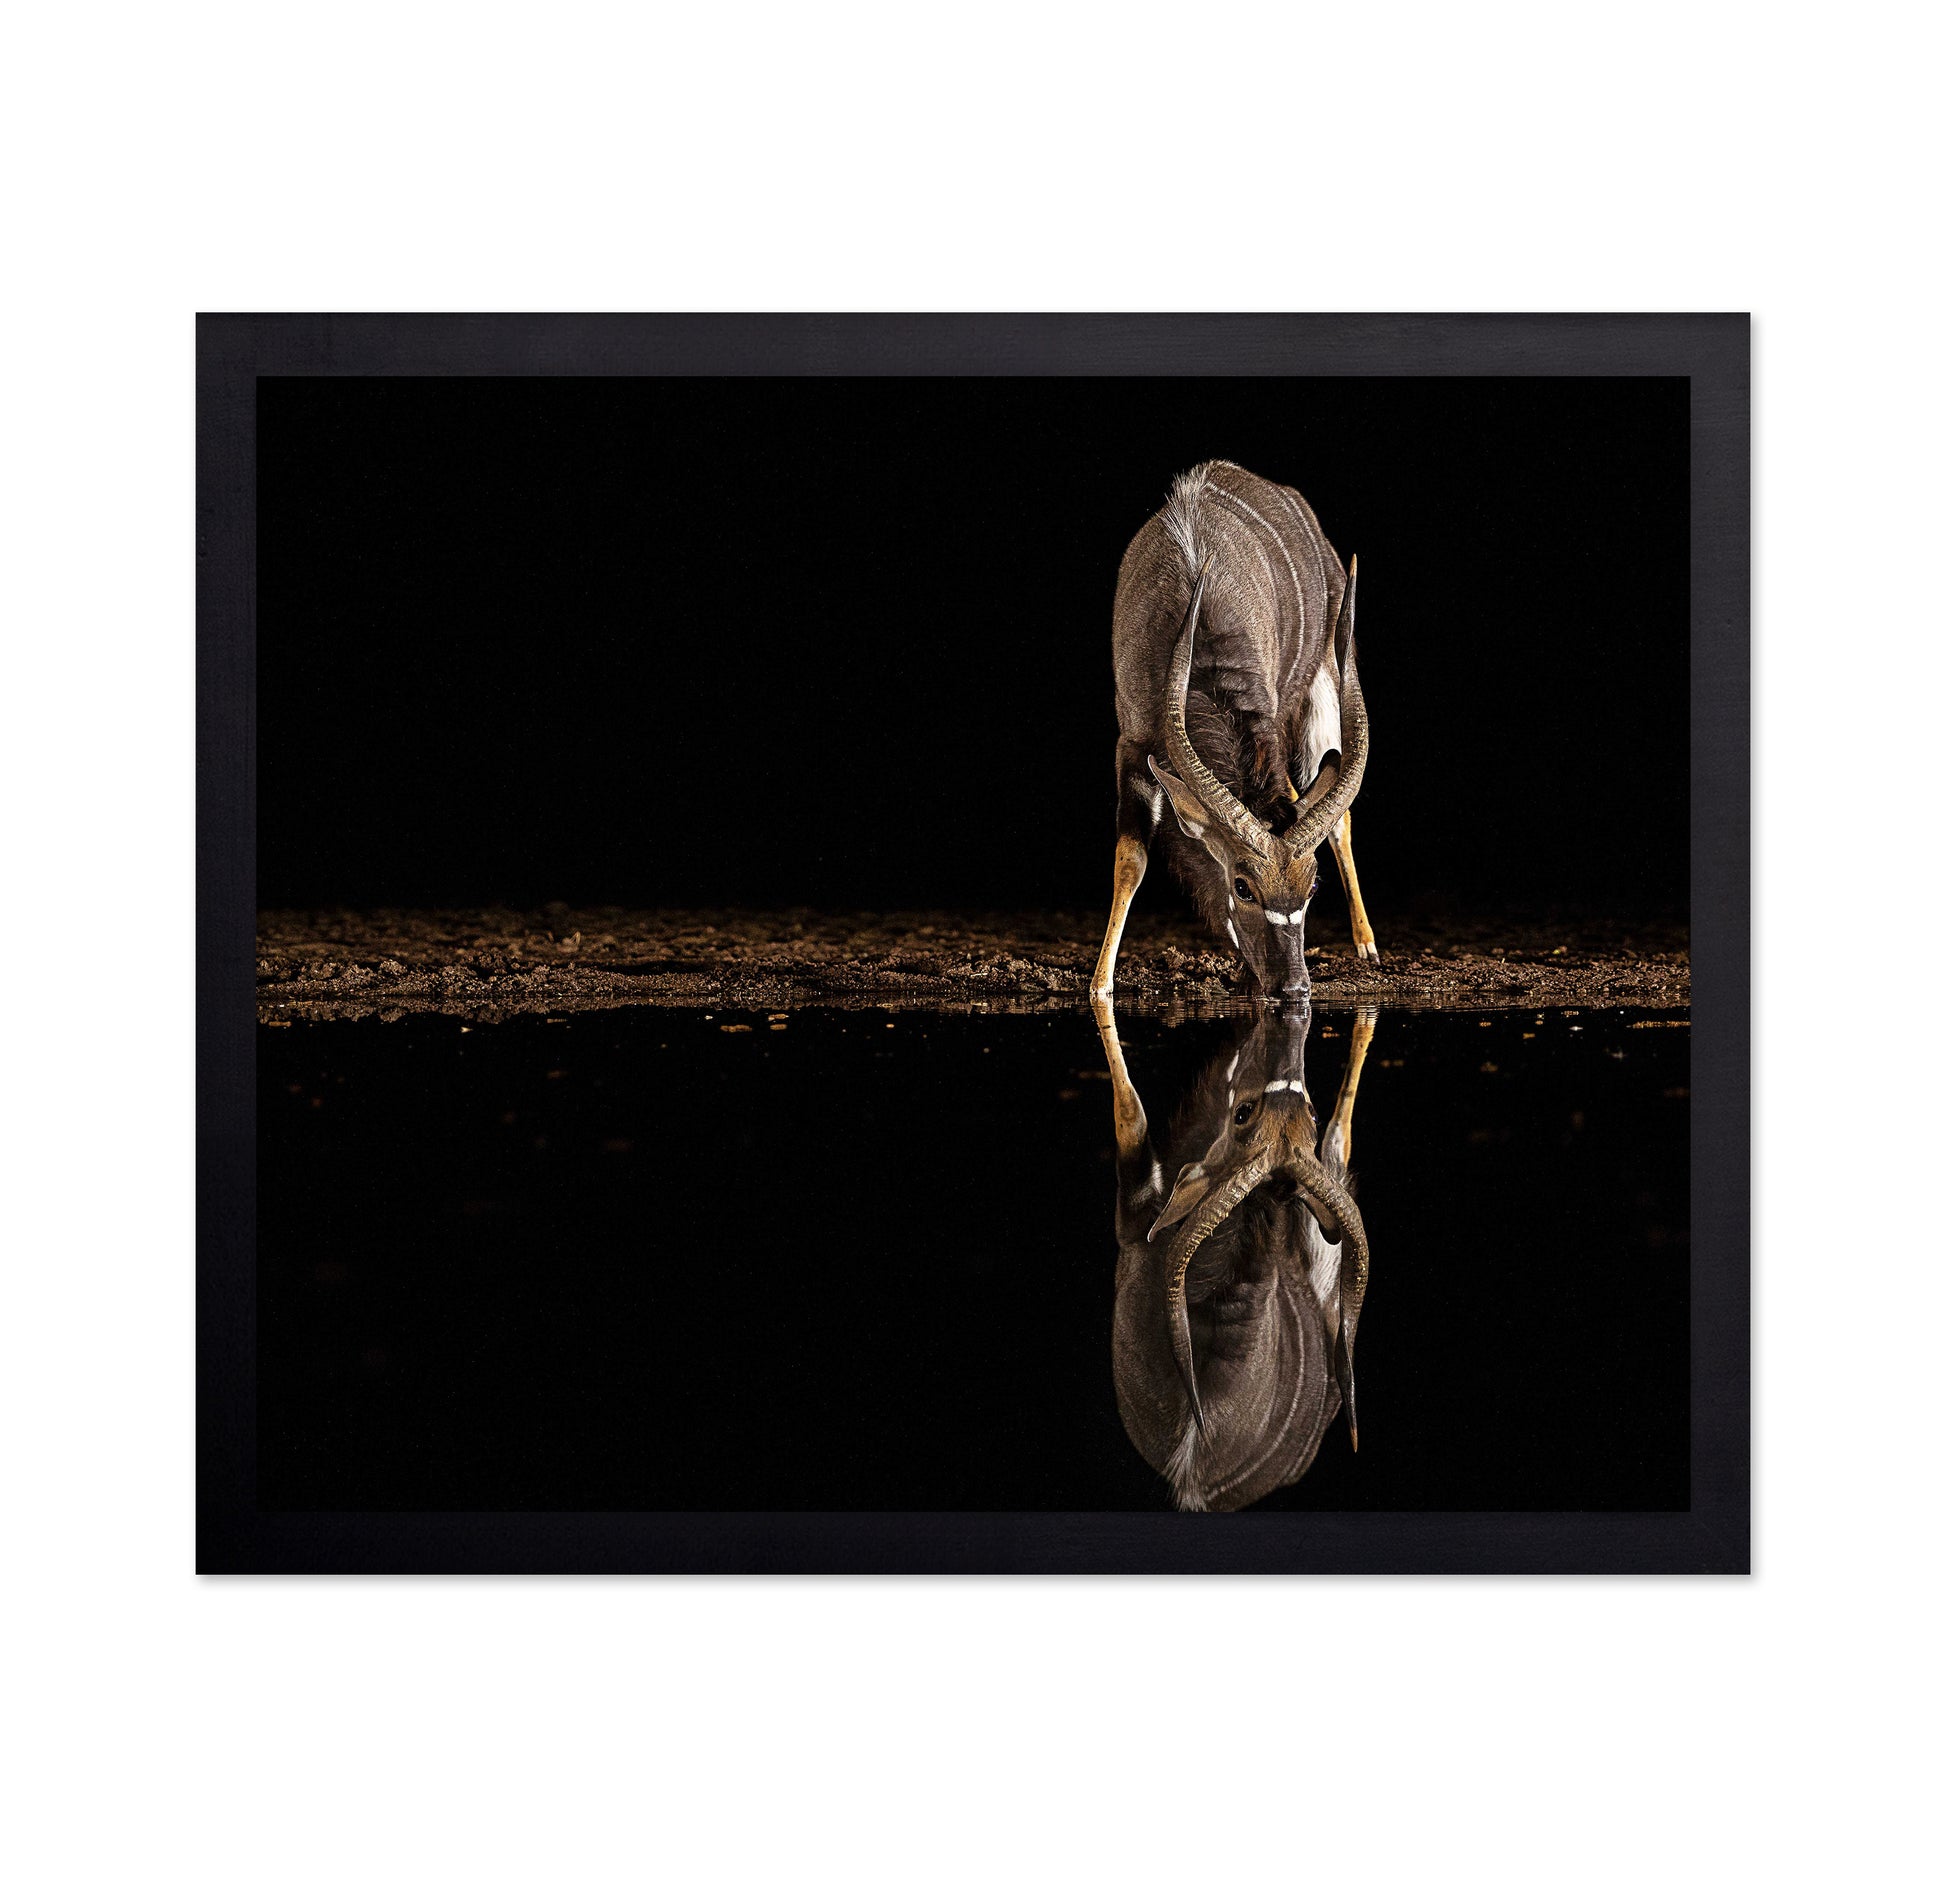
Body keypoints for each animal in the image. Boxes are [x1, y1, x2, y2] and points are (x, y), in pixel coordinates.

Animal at [1090, 462, 1377, 1003]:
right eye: (1242, 886)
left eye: (1312, 888)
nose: (1294, 987)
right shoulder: (1131, 744)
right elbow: (1130, 859)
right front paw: (1099, 986)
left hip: (1324, 686)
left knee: (1337, 817)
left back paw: (1368, 947)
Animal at [1097, 1002, 1376, 1513]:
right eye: (1245, 1113)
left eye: (1309, 1110)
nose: (1287, 1087)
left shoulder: (1135, 1213)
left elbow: (1128, 1112)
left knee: (1340, 1138)